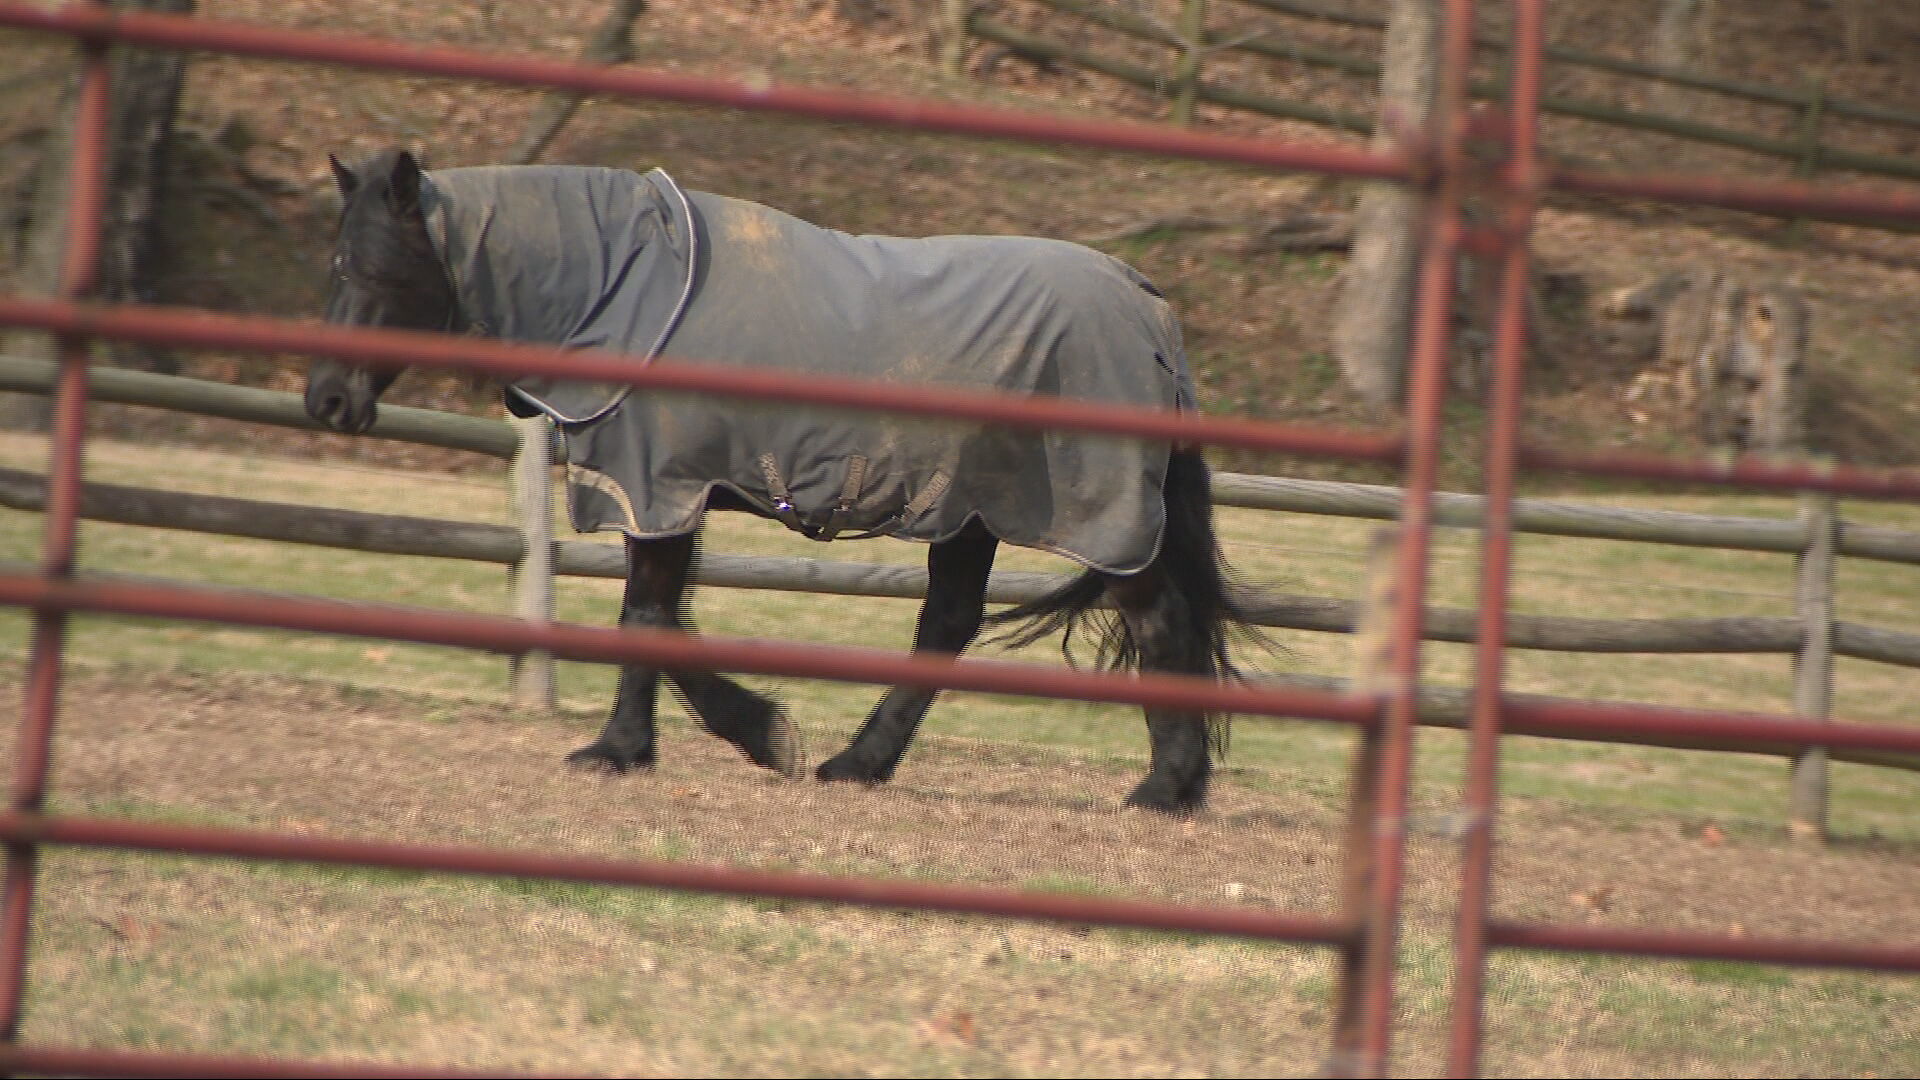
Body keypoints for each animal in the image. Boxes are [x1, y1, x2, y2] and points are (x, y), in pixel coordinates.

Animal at [305, 148, 1257, 814]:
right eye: (336, 266)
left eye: (372, 268)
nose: (327, 398)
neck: (625, 288)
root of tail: (1147, 306)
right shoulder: (667, 494)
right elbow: (659, 620)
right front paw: (683, 742)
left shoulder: (660, 487)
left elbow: (646, 620)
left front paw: (698, 741)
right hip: (970, 513)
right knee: (950, 626)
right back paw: (860, 766)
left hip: (1095, 516)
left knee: (1158, 623)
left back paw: (1163, 791)